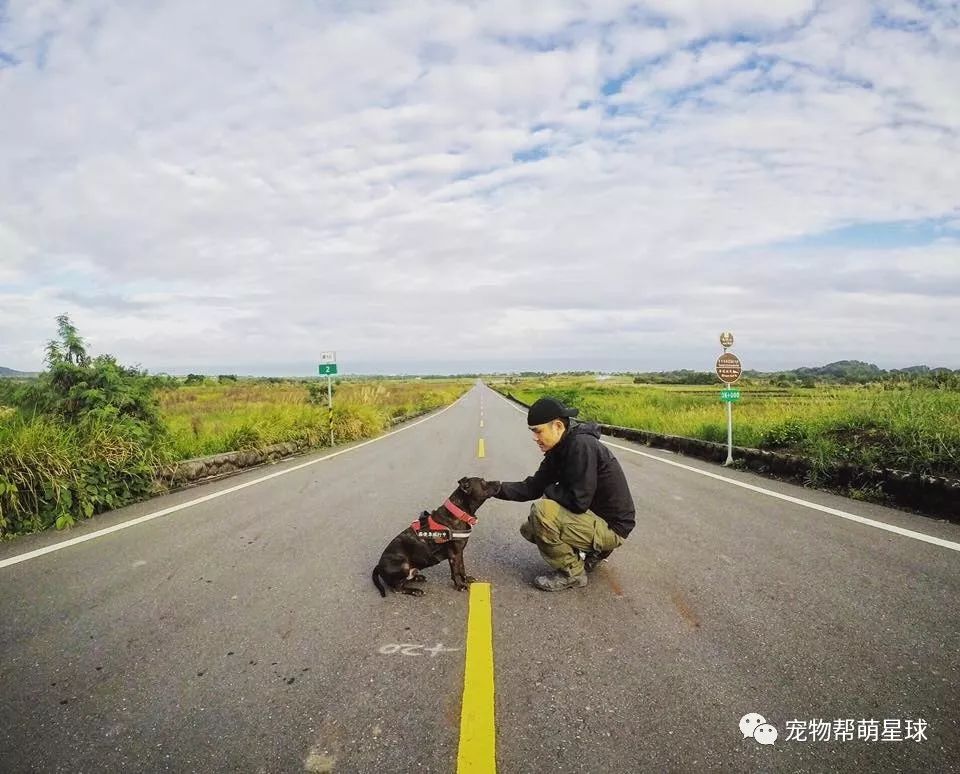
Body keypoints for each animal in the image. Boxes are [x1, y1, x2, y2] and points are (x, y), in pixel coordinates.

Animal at [370, 478, 498, 600]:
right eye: (483, 482)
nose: (498, 482)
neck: (459, 512)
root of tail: (378, 566)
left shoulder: (459, 552)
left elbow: (462, 567)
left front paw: (465, 579)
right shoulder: (454, 554)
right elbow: (456, 571)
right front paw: (459, 585)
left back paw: (418, 577)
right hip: (403, 565)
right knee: (397, 588)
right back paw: (415, 591)